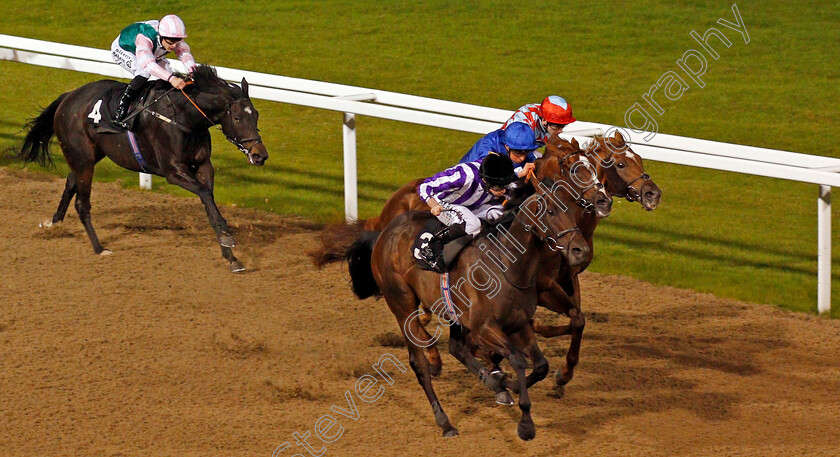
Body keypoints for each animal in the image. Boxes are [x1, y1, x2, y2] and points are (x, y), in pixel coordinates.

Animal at [17, 64, 266, 270]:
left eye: (256, 115)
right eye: (236, 117)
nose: (260, 155)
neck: (184, 117)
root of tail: (68, 96)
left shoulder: (204, 166)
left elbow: (209, 202)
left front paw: (231, 256)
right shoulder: (174, 172)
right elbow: (205, 194)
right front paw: (228, 239)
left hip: (89, 156)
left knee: (70, 182)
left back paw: (55, 222)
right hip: (83, 158)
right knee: (82, 203)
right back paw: (99, 248)